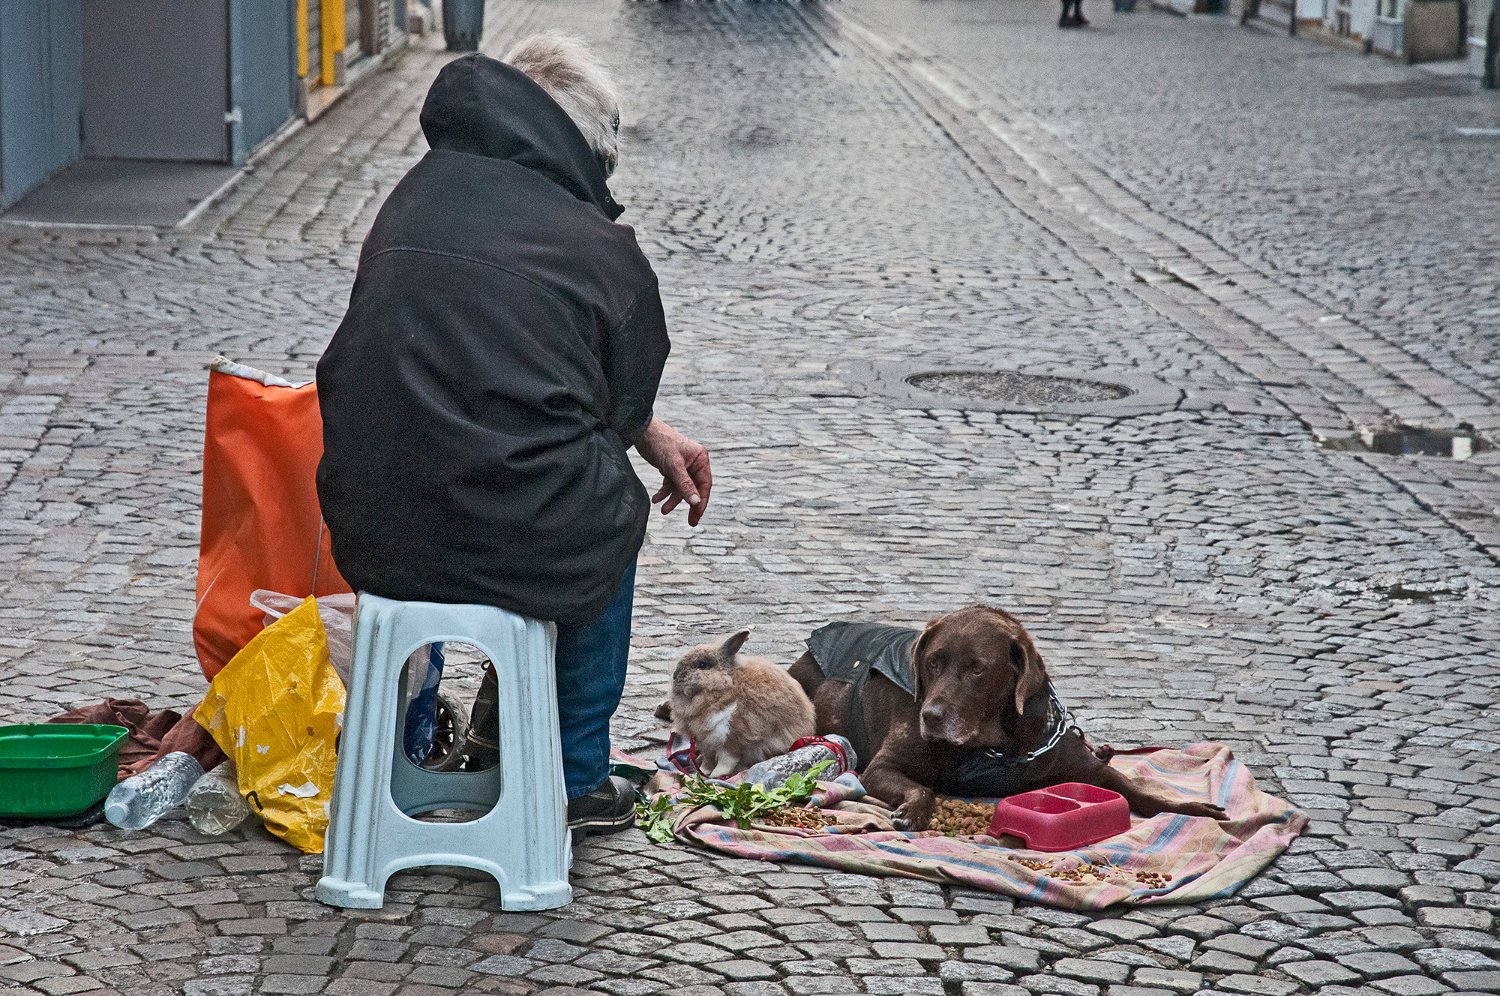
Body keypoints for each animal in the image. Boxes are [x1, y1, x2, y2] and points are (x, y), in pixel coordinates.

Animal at [654, 630, 816, 778]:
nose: (675, 676)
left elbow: (726, 761)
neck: (726, 686)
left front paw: (715, 775)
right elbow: (708, 760)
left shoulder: (731, 737)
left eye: (703, 665)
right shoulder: (707, 742)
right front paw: (702, 772)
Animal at [787, 605, 1228, 831]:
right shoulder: (882, 766)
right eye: (932, 662)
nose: (930, 715)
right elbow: (921, 788)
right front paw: (913, 810)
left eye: (977, 669)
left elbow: (1136, 788)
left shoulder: (1086, 766)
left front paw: (1193, 809)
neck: (992, 745)